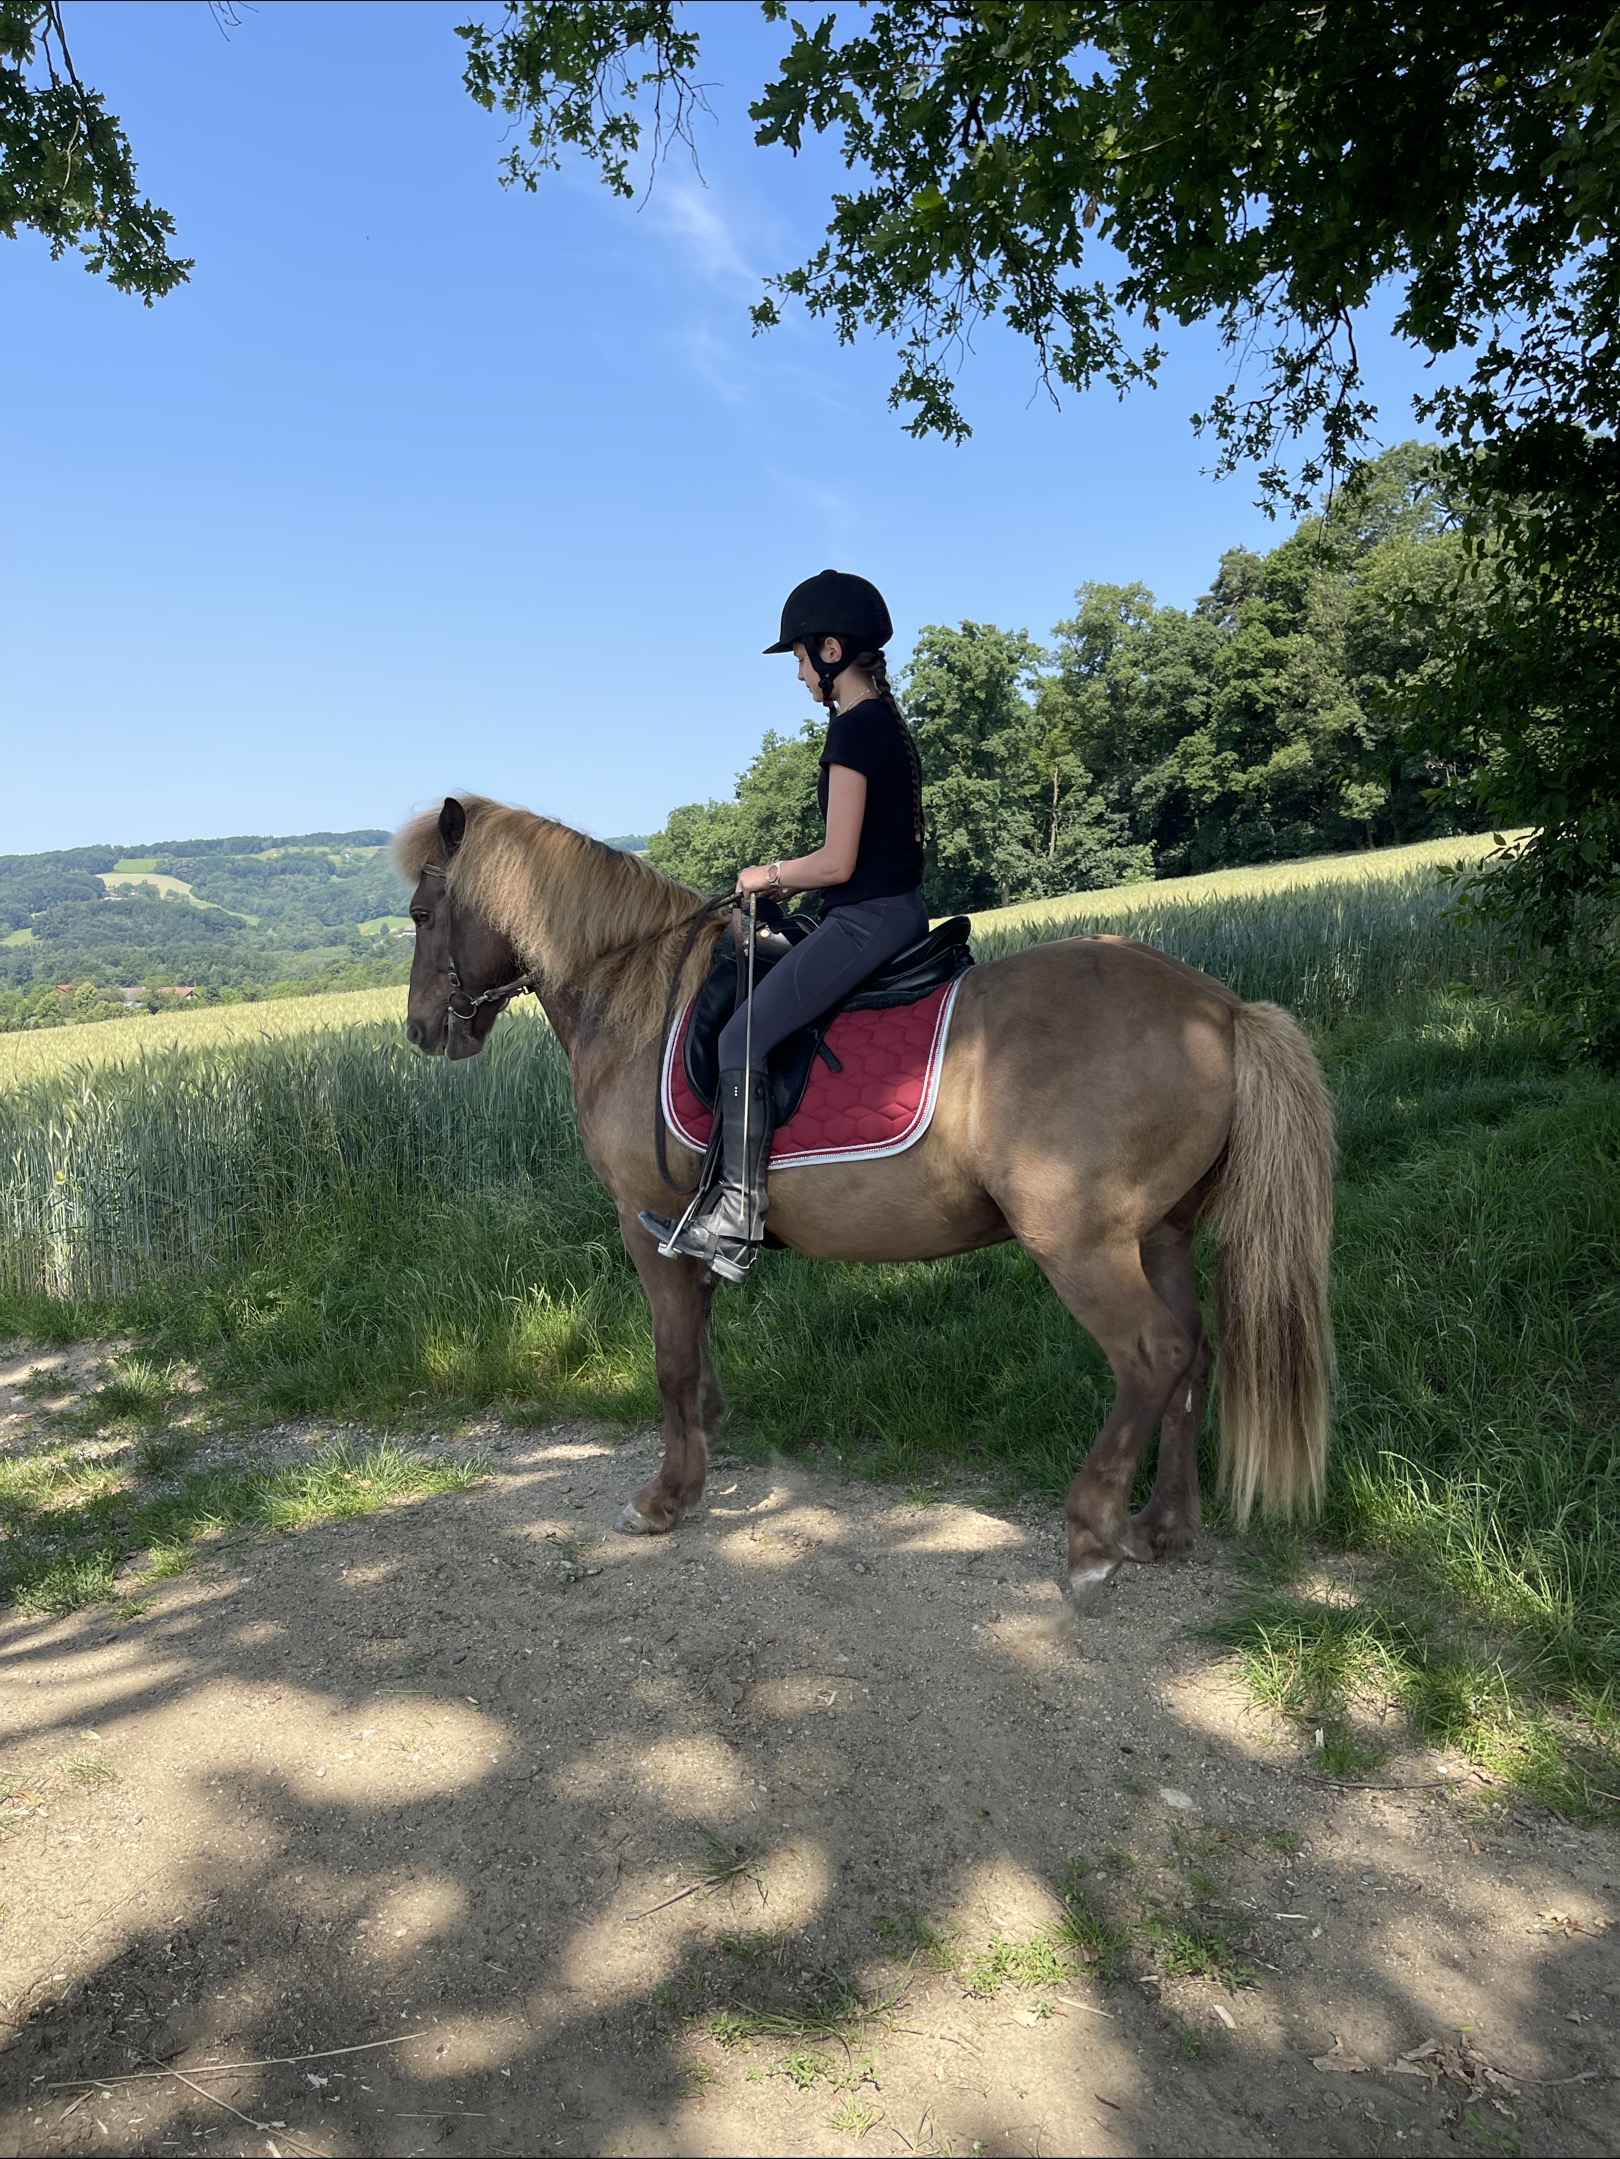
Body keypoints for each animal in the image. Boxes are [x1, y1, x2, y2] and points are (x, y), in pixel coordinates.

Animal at [397, 795, 1336, 1595]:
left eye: (420, 914)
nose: (421, 1029)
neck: (637, 999)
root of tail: (1221, 1011)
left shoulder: (641, 1220)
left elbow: (670, 1358)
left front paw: (665, 1495)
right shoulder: (685, 1230)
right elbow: (696, 1342)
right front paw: (707, 1441)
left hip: (1082, 1242)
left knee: (1153, 1356)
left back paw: (1091, 1537)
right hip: (1161, 1236)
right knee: (1194, 1357)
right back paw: (1163, 1527)